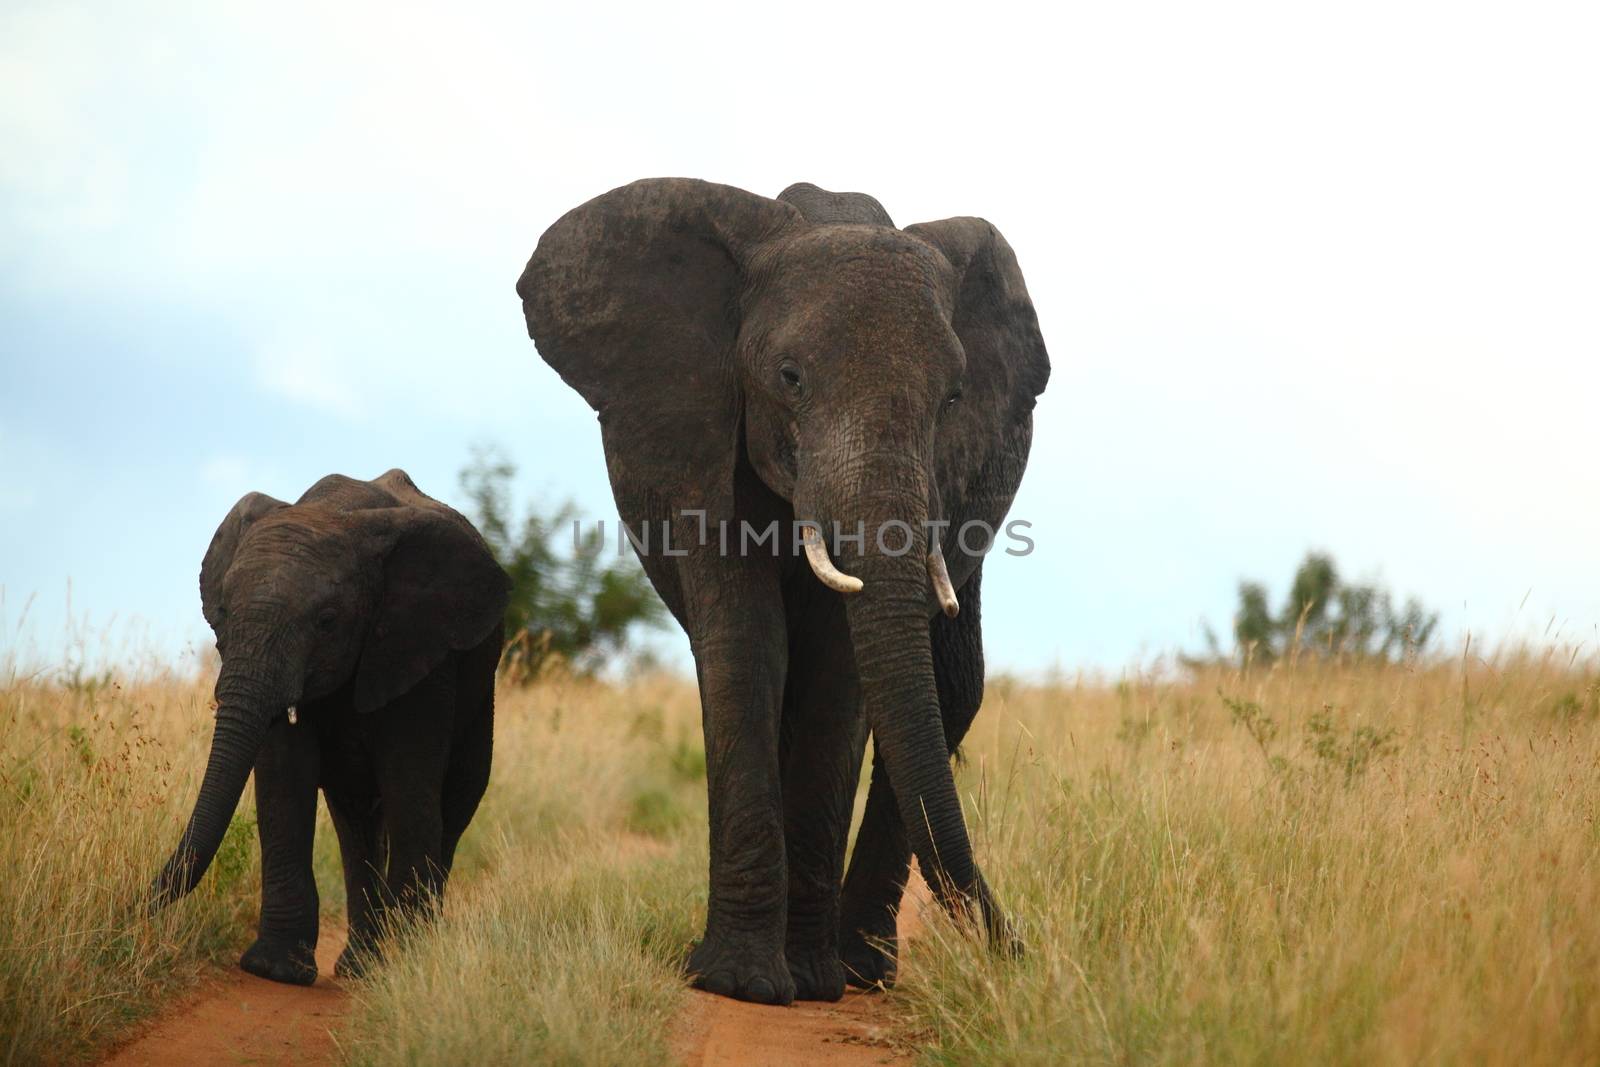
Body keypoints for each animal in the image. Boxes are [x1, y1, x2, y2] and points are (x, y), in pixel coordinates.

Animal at [149, 467, 508, 985]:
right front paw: (274, 970)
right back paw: (360, 966)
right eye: (223, 615)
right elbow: (283, 777)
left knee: (456, 800)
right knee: (356, 822)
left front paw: (407, 965)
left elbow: (409, 782)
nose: (132, 907)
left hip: (480, 693)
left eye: (327, 621)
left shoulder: (420, 645)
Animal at [518, 179, 1056, 1004]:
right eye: (789, 378)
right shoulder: (703, 435)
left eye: (954, 397)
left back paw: (858, 969)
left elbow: (842, 669)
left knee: (950, 691)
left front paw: (805, 980)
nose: (1025, 952)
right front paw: (739, 982)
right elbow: (748, 643)